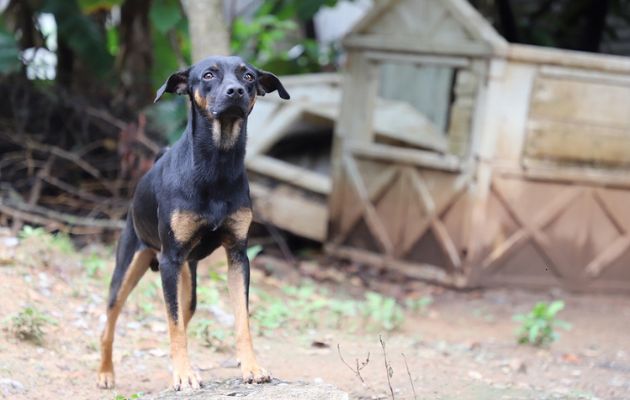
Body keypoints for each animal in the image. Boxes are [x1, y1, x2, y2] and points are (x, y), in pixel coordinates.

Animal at [98, 55, 292, 390]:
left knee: (183, 316)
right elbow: (173, 324)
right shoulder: (170, 260)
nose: (235, 91)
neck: (217, 163)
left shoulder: (238, 255)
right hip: (129, 267)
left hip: (188, 282)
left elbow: (242, 319)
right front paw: (184, 375)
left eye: (249, 76)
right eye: (209, 75)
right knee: (110, 321)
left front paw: (251, 367)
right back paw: (106, 374)